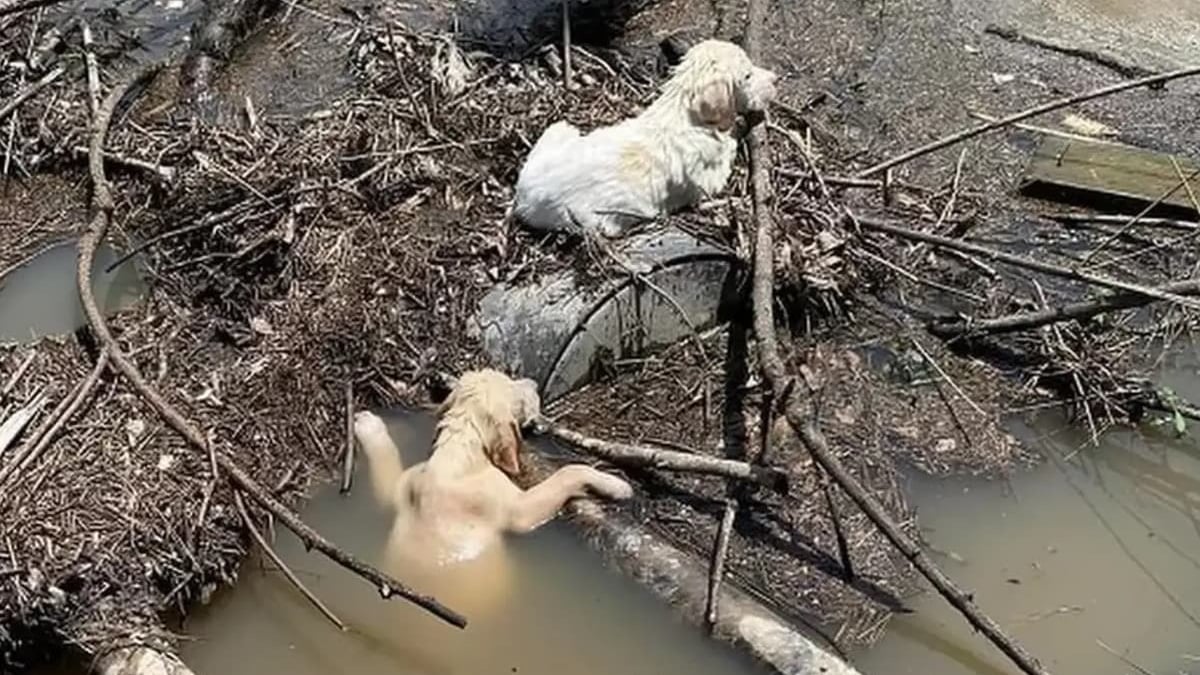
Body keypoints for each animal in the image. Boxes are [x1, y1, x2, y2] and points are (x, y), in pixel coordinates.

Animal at [350, 367, 633, 614]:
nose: (533, 382)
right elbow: (570, 472)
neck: (457, 456)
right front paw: (615, 485)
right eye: (514, 387)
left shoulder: (398, 490)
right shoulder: (520, 512)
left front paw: (368, 425)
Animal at [513, 39, 777, 237]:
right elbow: (729, 143)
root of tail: (523, 197)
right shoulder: (709, 181)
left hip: (559, 130)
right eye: (747, 76)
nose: (776, 79)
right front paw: (738, 125)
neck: (683, 113)